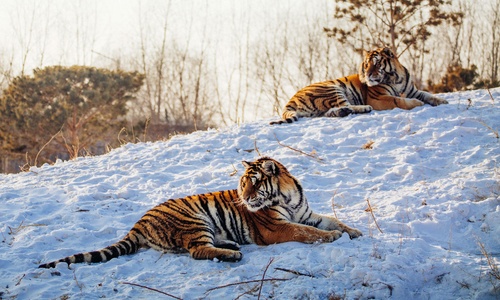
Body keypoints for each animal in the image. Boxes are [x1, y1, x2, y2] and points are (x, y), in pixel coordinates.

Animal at [38, 156, 360, 268]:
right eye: (242, 184)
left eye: (254, 183)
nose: (245, 198)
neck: (287, 195)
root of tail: (138, 224)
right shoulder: (278, 228)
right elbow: (308, 232)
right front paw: (331, 237)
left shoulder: (306, 213)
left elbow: (332, 220)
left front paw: (353, 231)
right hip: (195, 220)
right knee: (196, 251)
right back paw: (231, 254)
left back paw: (230, 246)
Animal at [270, 46, 450, 125]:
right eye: (366, 65)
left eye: (376, 64)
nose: (369, 74)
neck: (395, 78)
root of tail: (290, 100)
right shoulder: (378, 98)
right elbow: (398, 100)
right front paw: (417, 104)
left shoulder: (412, 90)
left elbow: (427, 94)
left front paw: (442, 101)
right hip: (332, 89)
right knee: (345, 106)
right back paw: (363, 108)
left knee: (332, 111)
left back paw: (344, 112)